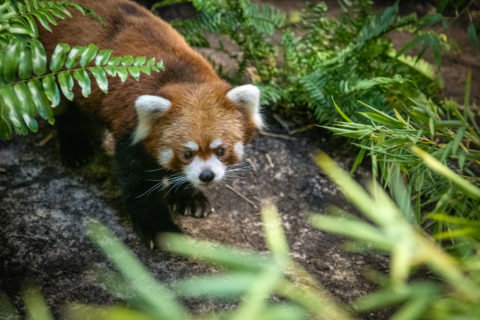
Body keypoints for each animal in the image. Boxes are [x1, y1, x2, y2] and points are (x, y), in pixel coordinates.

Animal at [39, 0, 264, 244]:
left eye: (220, 150)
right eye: (187, 154)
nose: (207, 176)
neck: (183, 79)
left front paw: (189, 197)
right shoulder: (130, 130)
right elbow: (140, 184)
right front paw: (159, 228)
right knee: (68, 110)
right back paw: (77, 148)